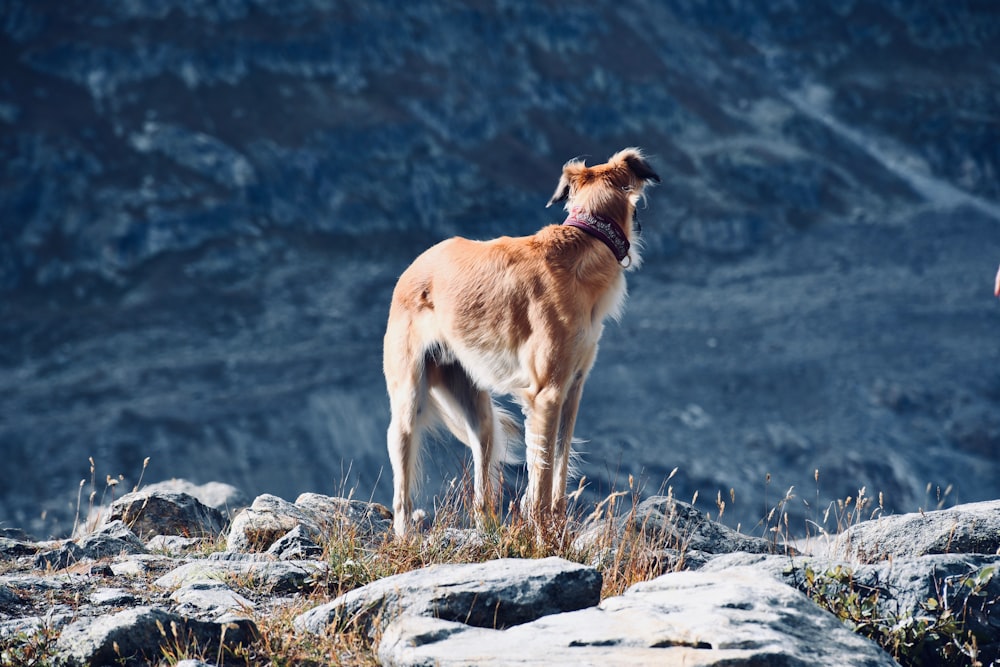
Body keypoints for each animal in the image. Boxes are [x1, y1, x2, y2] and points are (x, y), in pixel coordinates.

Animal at [380, 149, 656, 536]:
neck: (584, 242)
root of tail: (414, 266)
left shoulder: (572, 389)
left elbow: (559, 465)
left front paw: (556, 530)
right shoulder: (546, 394)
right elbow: (541, 475)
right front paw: (541, 535)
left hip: (475, 406)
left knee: (482, 479)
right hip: (408, 399)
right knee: (402, 486)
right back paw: (406, 534)